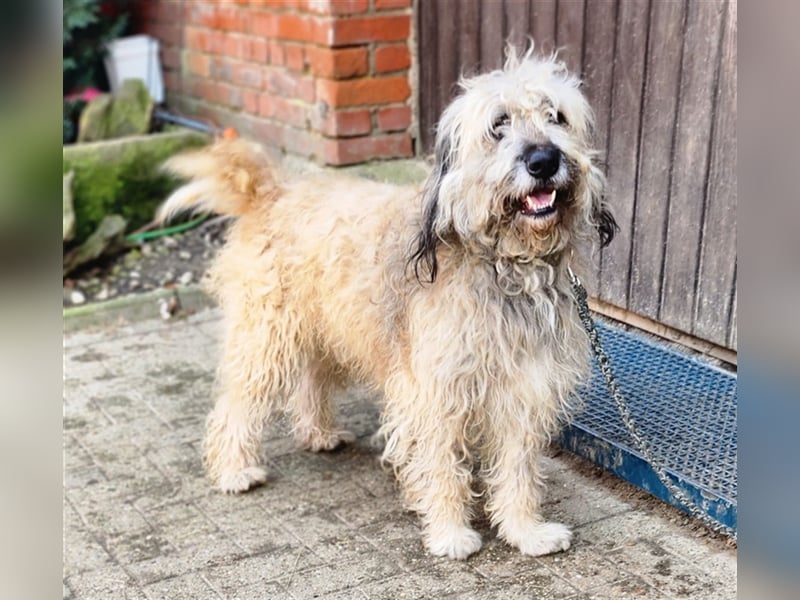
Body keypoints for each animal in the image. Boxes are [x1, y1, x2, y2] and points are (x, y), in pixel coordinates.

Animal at [158, 46, 616, 560]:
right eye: (499, 124)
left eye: (556, 116)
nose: (544, 159)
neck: (506, 265)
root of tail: (273, 191)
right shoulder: (434, 391)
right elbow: (441, 464)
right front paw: (450, 532)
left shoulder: (525, 388)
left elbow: (518, 467)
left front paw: (525, 530)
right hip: (267, 337)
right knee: (237, 403)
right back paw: (235, 468)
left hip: (327, 328)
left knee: (311, 379)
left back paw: (318, 433)